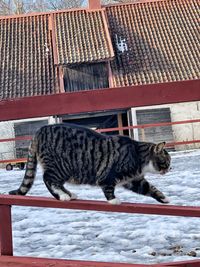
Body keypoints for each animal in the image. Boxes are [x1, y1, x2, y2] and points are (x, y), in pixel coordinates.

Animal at [9, 123, 170, 205]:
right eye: (166, 162)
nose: (170, 168)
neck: (138, 154)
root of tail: (40, 130)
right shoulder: (108, 176)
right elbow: (108, 188)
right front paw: (113, 200)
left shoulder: (134, 180)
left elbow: (149, 188)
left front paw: (163, 198)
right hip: (60, 167)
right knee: (48, 179)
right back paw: (63, 196)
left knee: (55, 182)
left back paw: (69, 194)